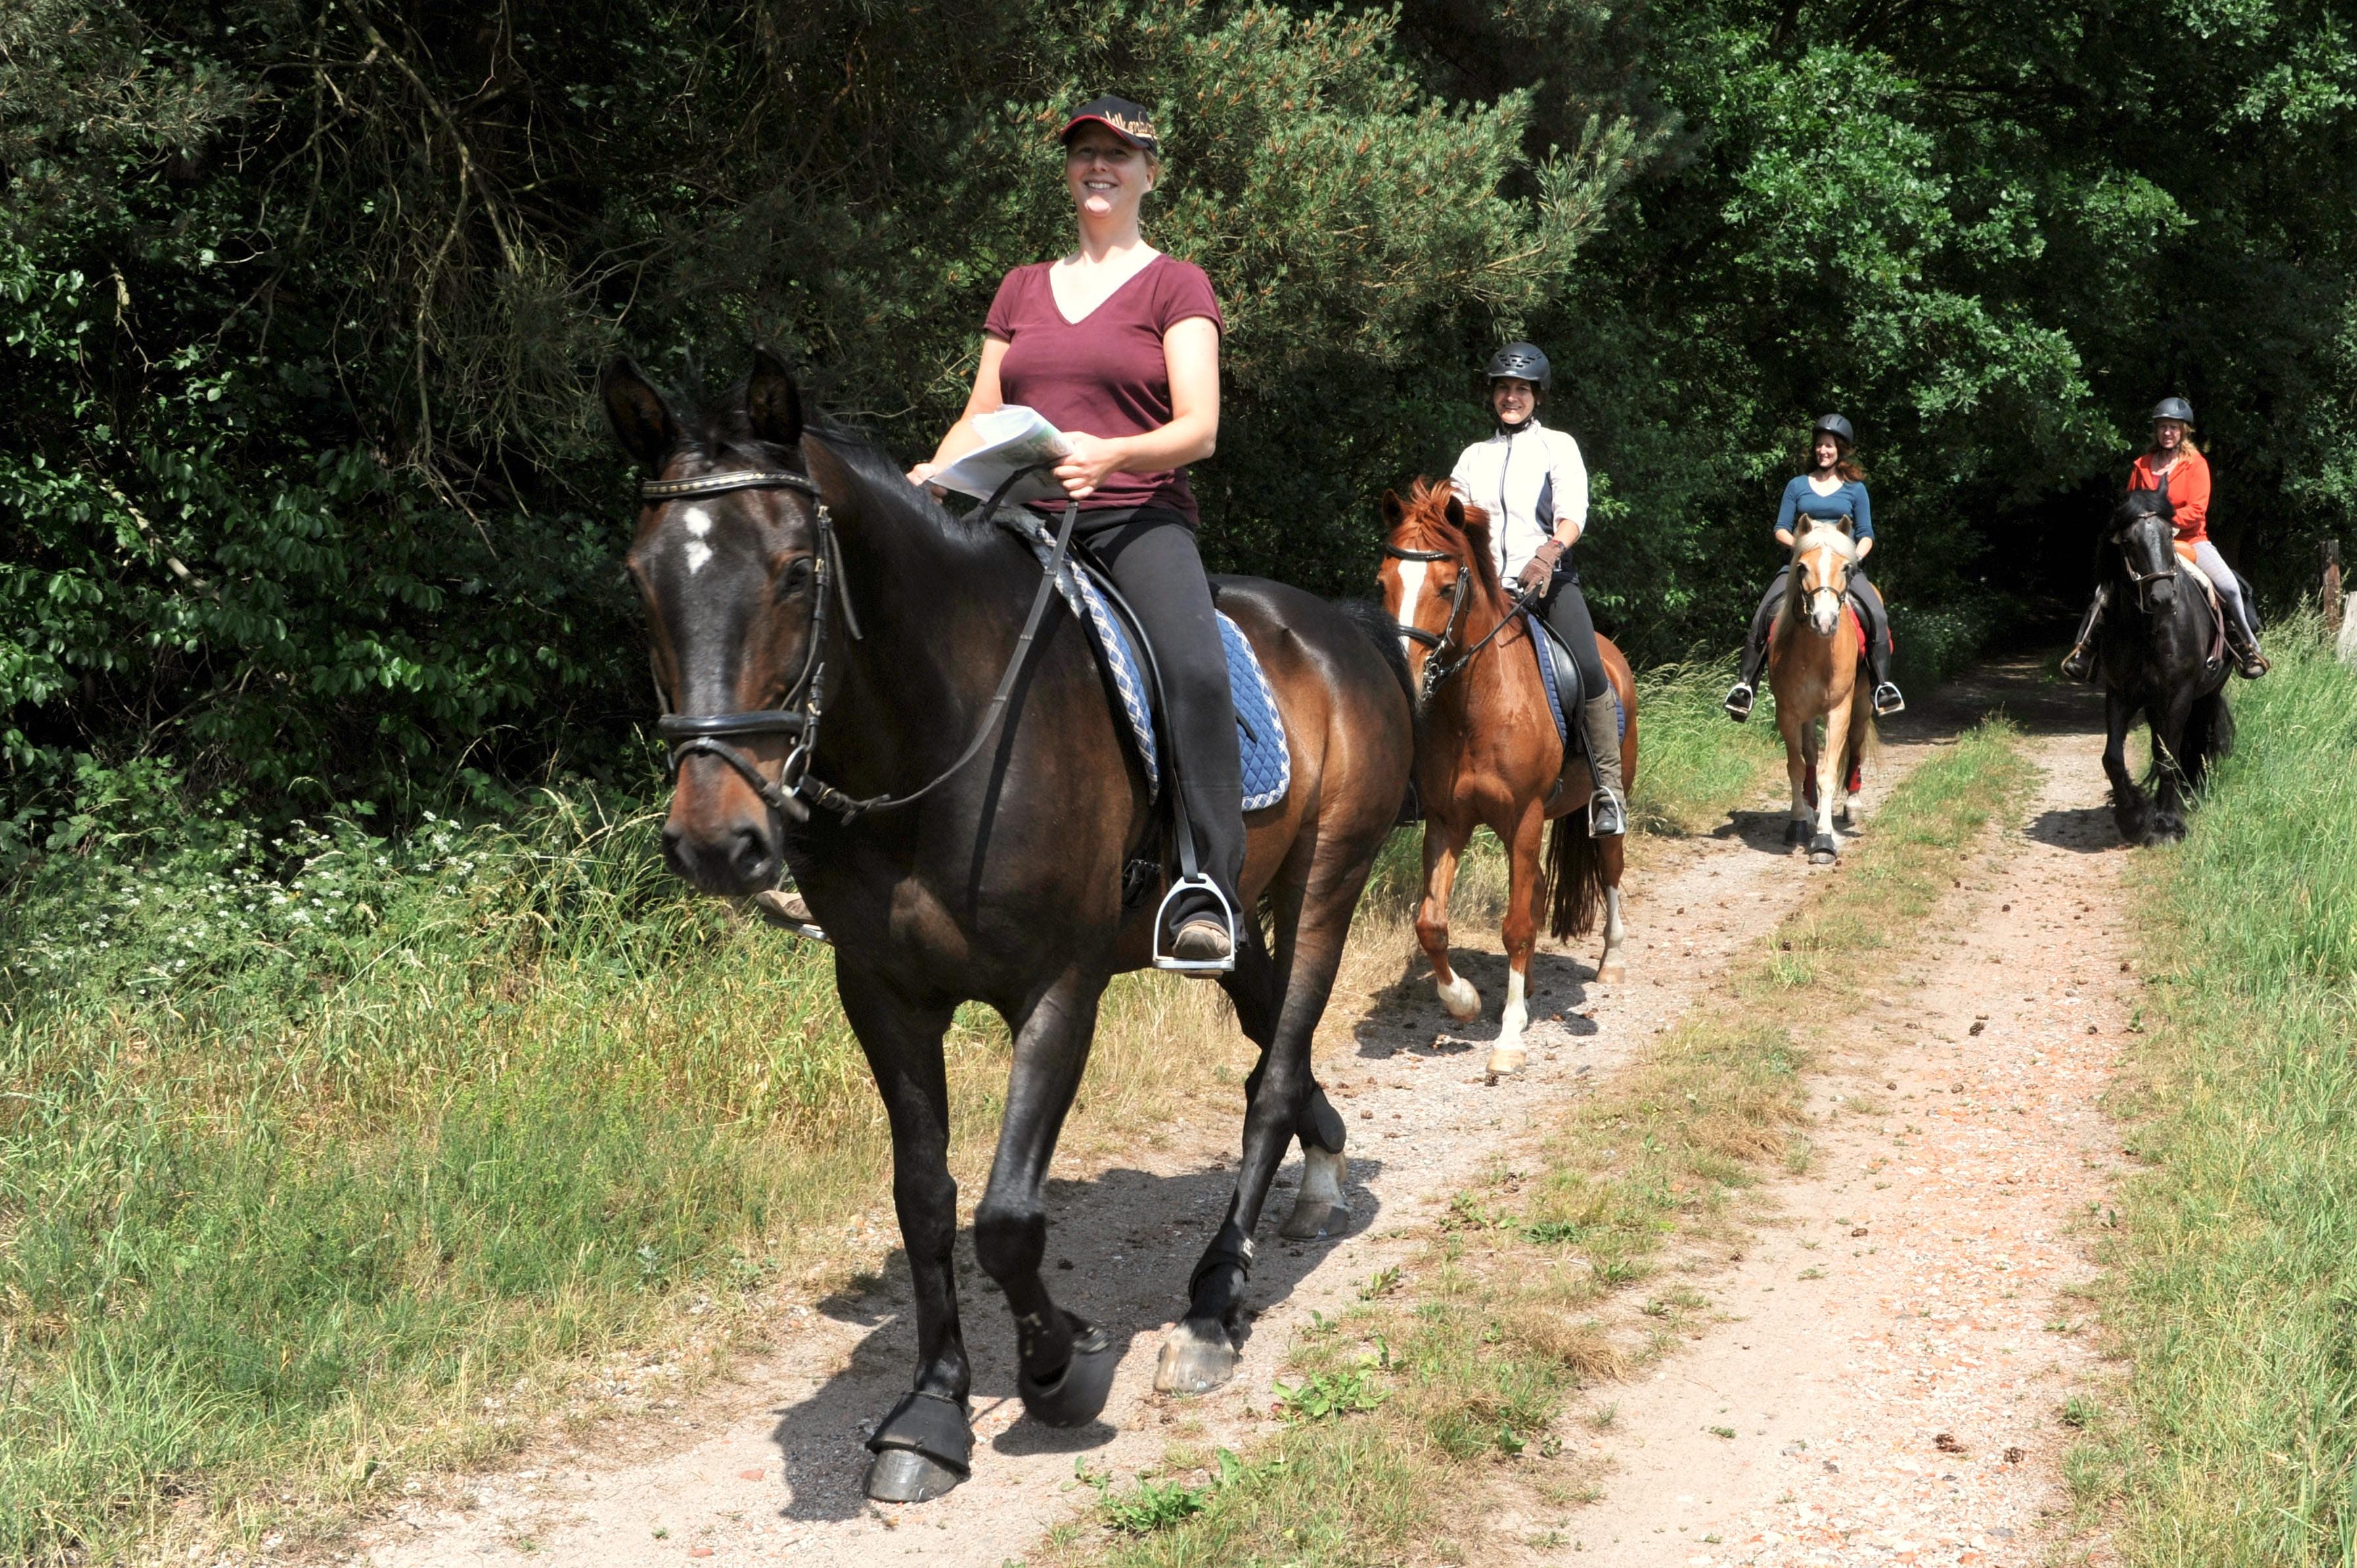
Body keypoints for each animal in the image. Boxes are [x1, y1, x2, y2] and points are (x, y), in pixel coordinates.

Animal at [608, 351, 1414, 1509]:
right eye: (640, 582)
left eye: (799, 571)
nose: (718, 842)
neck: (944, 735)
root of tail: (1341, 629)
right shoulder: (882, 993)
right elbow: (926, 1197)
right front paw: (933, 1409)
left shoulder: (1060, 988)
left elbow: (1007, 1214)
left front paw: (1058, 1373)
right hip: (1240, 921)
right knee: (1277, 1042)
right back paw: (1325, 1169)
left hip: (1325, 888)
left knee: (1270, 1077)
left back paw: (1212, 1307)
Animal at [1376, 481, 1650, 1075]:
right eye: (1384, 583)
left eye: (1446, 585)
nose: (1405, 678)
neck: (1475, 707)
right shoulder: (1447, 821)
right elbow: (1432, 924)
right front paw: (1465, 1001)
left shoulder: (1523, 818)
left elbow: (1516, 926)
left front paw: (1507, 1039)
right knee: (1541, 889)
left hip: (1605, 801)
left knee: (1611, 869)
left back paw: (1611, 961)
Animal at [1772, 516, 1876, 862]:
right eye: (1803, 567)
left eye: (1846, 568)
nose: (1825, 621)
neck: (1816, 653)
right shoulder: (1788, 713)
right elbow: (1796, 766)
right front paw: (1798, 821)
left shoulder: (1838, 710)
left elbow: (1829, 773)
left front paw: (1824, 839)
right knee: (1809, 754)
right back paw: (1808, 805)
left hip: (1861, 704)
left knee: (1855, 744)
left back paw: (1852, 804)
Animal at [2093, 485, 2234, 844]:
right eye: (2128, 541)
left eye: (2170, 537)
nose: (2163, 598)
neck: (2148, 629)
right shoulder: (2121, 694)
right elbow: (2113, 758)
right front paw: (2132, 816)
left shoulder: (2180, 695)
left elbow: (2169, 757)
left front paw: (2168, 824)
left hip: (2207, 694)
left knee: (2195, 740)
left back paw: (2190, 794)